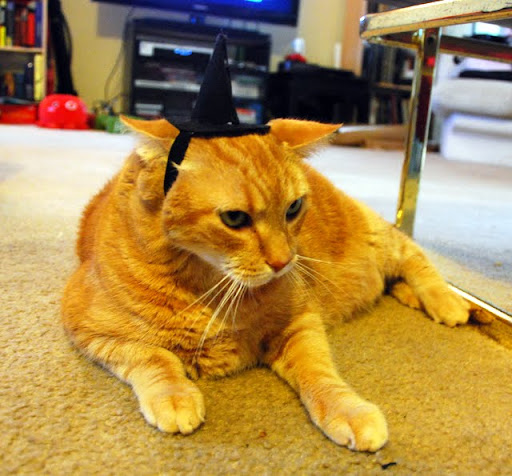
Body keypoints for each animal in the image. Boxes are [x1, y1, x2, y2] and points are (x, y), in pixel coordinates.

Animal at [62, 116, 477, 452]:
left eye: (293, 209)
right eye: (234, 218)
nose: (283, 262)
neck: (208, 287)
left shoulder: (298, 323)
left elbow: (319, 374)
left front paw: (348, 410)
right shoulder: (89, 330)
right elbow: (154, 358)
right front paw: (175, 395)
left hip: (379, 238)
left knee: (414, 258)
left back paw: (445, 301)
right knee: (395, 278)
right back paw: (411, 296)